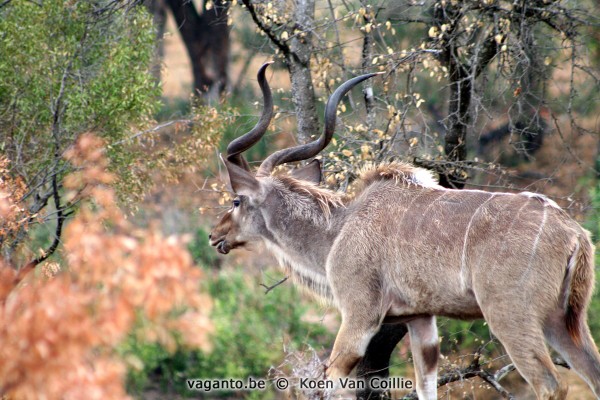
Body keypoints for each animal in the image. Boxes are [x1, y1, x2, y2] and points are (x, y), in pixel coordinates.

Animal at [210, 61, 600, 398]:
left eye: (236, 200)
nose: (215, 235)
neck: (340, 228)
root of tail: (575, 234)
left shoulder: (359, 314)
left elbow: (334, 379)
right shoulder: (421, 321)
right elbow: (426, 385)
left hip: (510, 316)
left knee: (551, 385)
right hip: (565, 321)